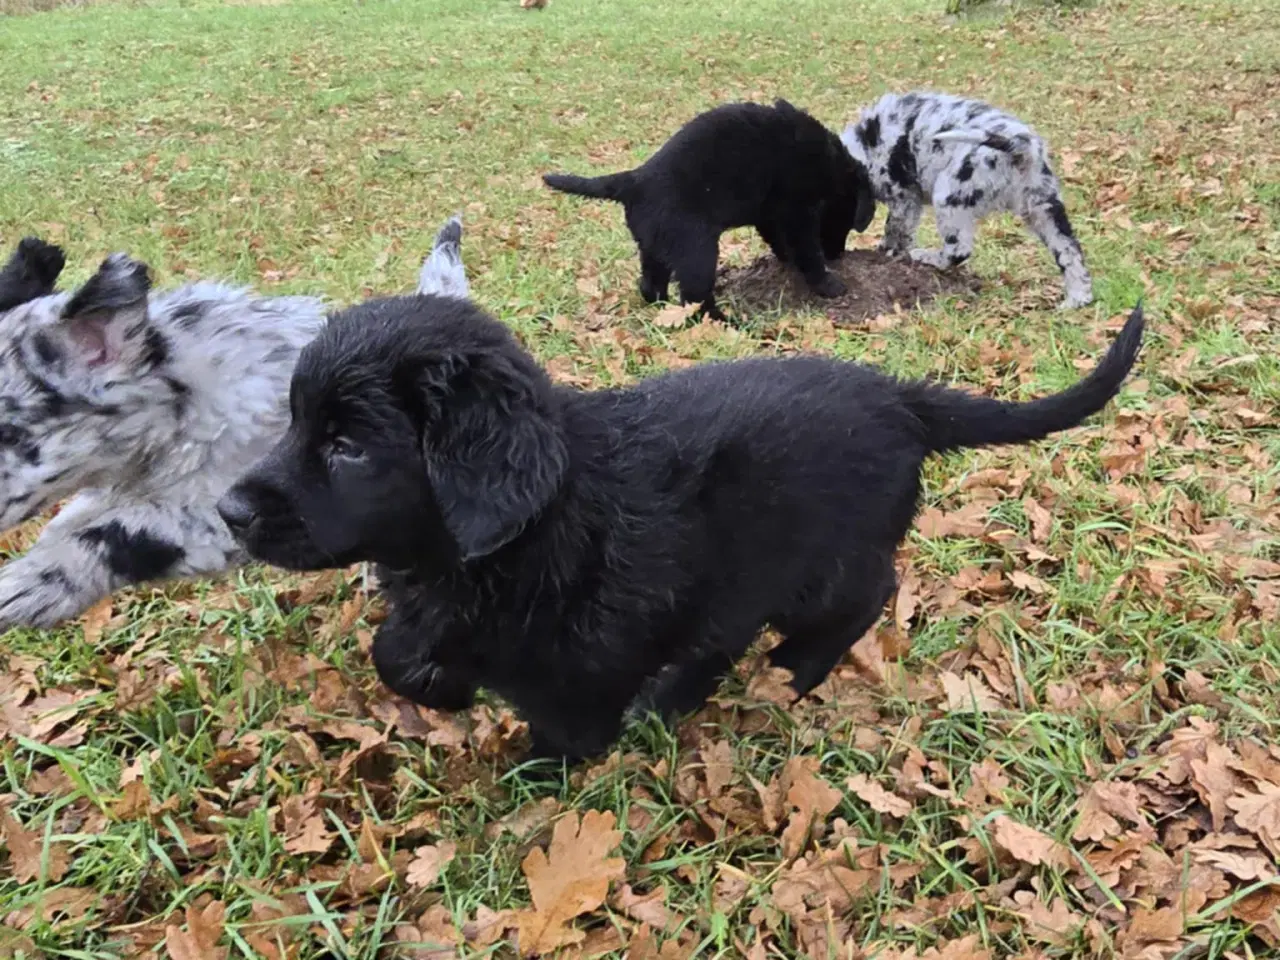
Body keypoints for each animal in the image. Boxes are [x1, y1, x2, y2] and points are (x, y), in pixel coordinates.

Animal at [215, 293, 1146, 768]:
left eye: (345, 445)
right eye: (296, 423)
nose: (227, 511)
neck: (535, 525)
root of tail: (901, 397)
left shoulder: (586, 647)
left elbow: (564, 714)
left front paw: (543, 762)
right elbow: (398, 649)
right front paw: (442, 686)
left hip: (815, 560)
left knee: (868, 590)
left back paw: (791, 669)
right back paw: (677, 696)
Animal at [540, 99, 880, 321]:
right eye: (845, 223)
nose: (838, 255)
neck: (831, 165)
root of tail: (634, 180)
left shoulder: (771, 214)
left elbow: (778, 240)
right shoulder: (796, 212)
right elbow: (806, 250)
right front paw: (828, 284)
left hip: (655, 244)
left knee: (651, 284)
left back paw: (663, 309)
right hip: (697, 249)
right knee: (696, 296)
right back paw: (724, 321)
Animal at [839, 90, 1100, 308]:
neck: (864, 149)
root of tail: (1019, 146)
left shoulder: (904, 197)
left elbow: (895, 230)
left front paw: (887, 252)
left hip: (948, 195)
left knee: (958, 250)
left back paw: (928, 257)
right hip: (1043, 207)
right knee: (1070, 251)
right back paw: (1077, 299)